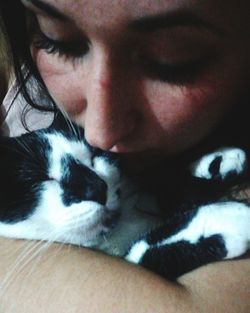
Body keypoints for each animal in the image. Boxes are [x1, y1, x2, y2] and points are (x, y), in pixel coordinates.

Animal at [0, 114, 250, 278]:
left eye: (95, 153)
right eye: (39, 178)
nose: (96, 188)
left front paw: (215, 161)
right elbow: (142, 252)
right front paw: (223, 221)